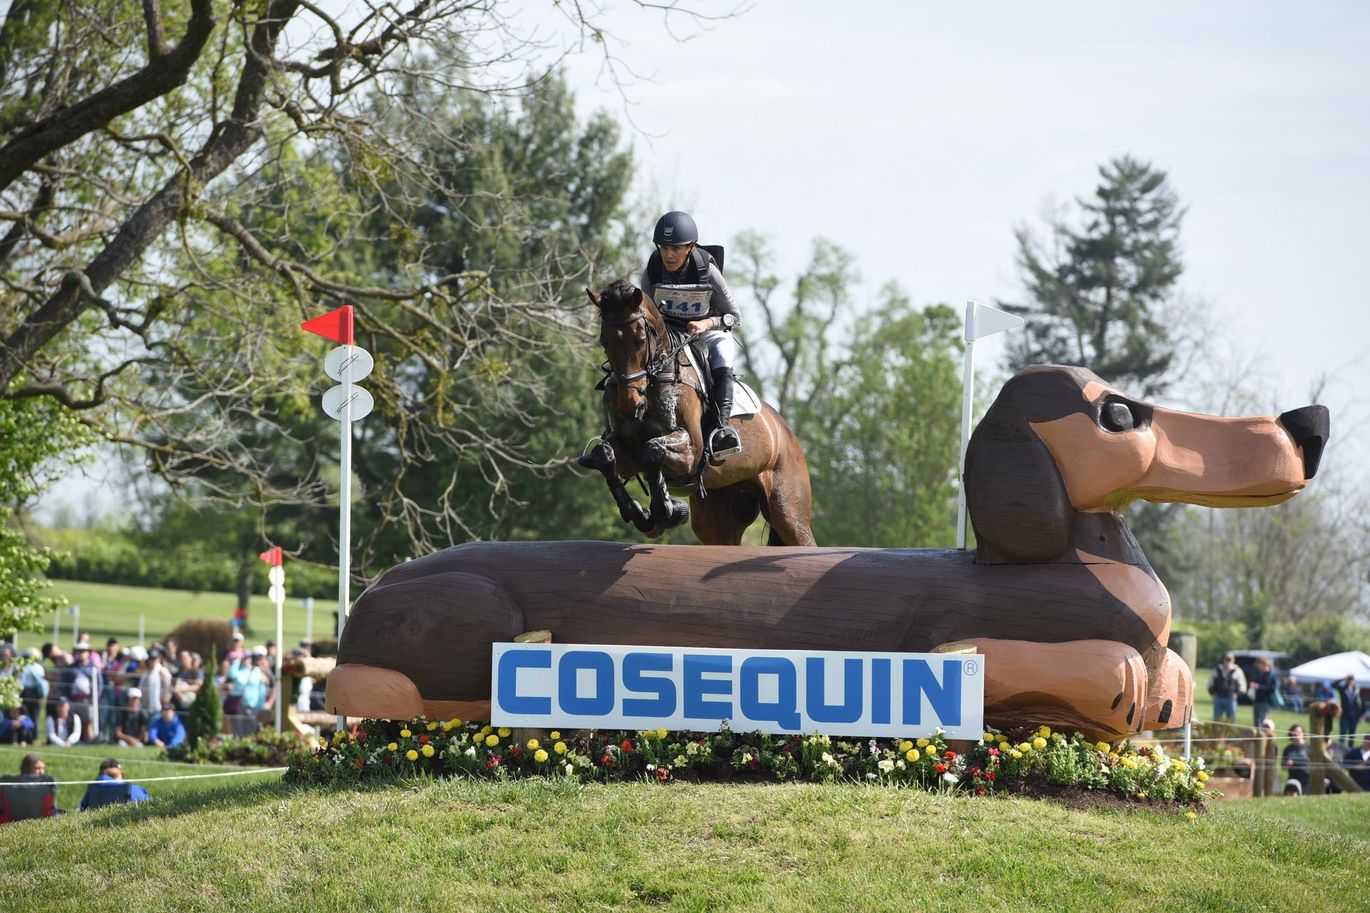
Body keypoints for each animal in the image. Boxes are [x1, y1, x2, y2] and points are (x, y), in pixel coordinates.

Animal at [578, 276, 811, 542]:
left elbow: (652, 449)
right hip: (718, 517)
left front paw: (665, 509)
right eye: (604, 342)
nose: (630, 404)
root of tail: (787, 433)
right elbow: (604, 455)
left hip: (789, 513)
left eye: (639, 340)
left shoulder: (691, 451)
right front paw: (639, 514)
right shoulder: (625, 452)